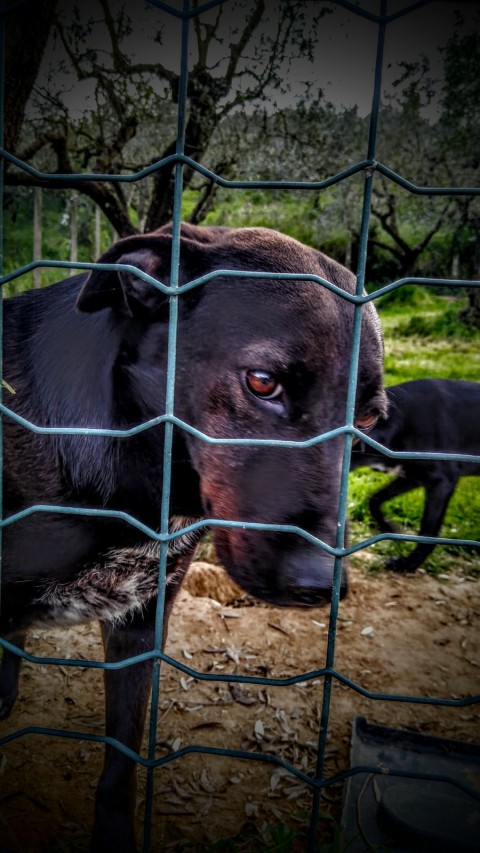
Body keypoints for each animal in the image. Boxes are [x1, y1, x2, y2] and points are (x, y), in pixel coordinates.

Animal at [351, 378, 480, 573]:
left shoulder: (442, 482)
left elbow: (428, 531)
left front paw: (408, 564)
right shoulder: (411, 477)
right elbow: (374, 499)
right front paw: (390, 528)